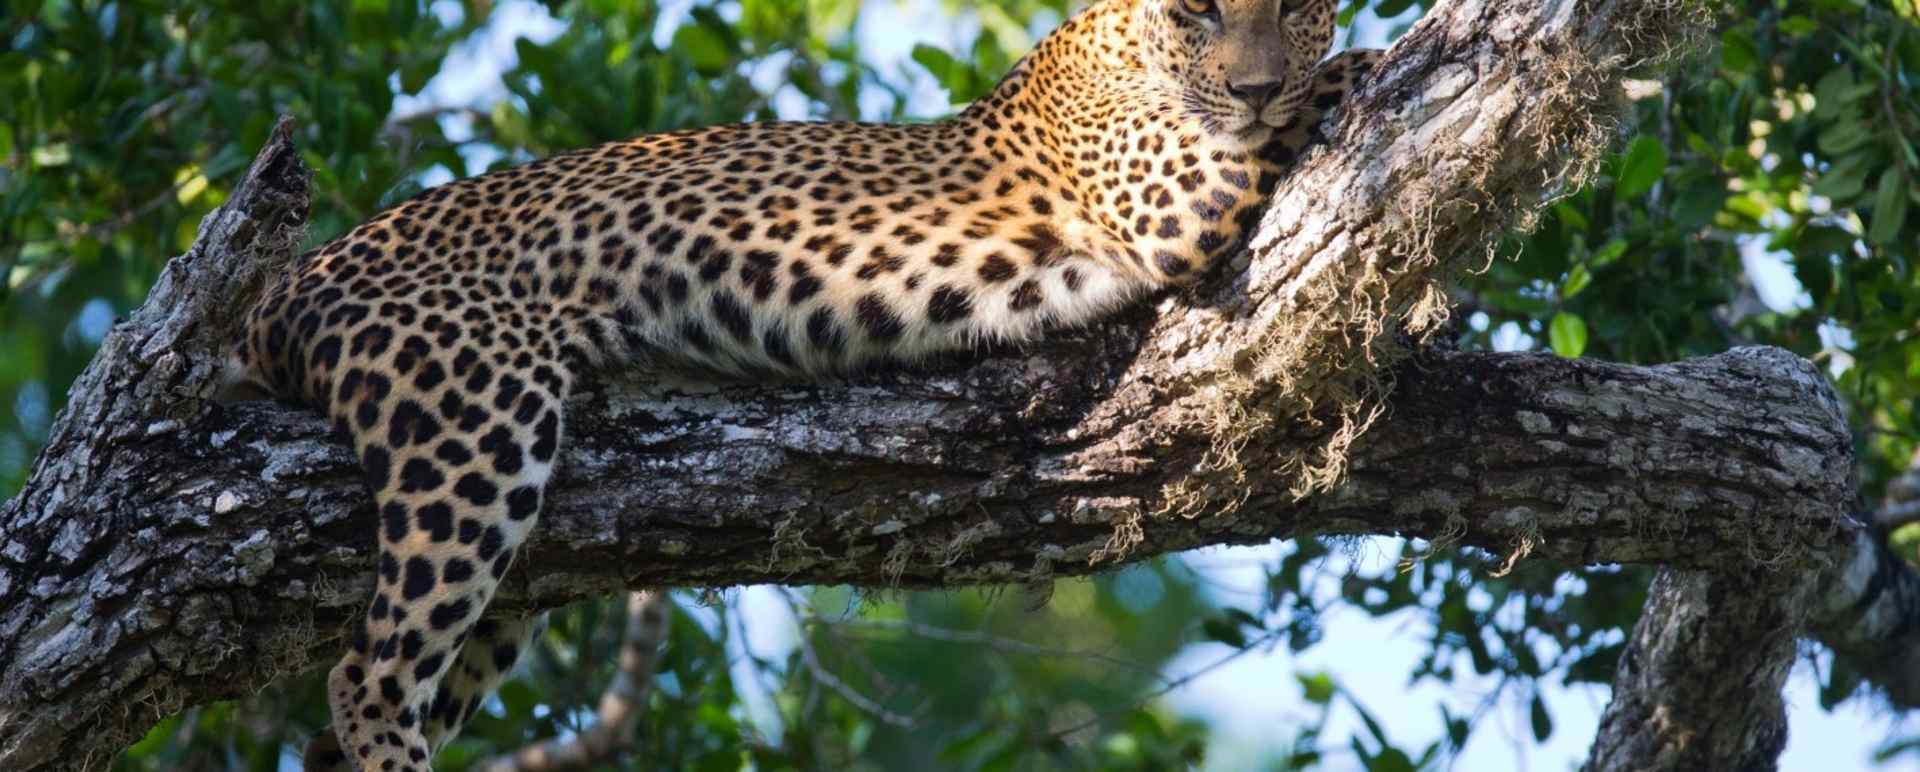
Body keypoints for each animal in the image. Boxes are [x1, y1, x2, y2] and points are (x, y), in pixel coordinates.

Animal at [223, 0, 1382, 768]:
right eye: (1199, 9)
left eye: (1293, 2)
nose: (1253, 86)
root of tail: (288, 283)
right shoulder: (1172, 193)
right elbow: (1315, 97)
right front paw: (1363, 68)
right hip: (471, 426)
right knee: (368, 673)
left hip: (516, 567)